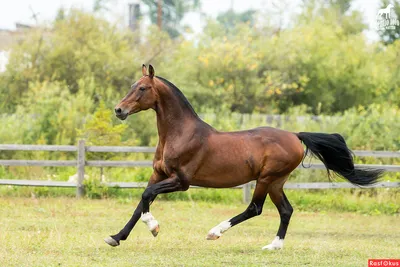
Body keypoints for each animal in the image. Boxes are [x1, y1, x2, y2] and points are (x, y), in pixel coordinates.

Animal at [104, 65, 384, 251]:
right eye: (131, 86)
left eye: (142, 88)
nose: (118, 110)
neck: (180, 134)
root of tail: (295, 135)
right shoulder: (158, 174)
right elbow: (141, 201)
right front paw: (116, 237)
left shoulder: (181, 181)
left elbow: (146, 196)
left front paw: (153, 227)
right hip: (276, 182)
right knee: (286, 210)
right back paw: (273, 246)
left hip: (266, 179)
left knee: (255, 208)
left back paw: (214, 232)